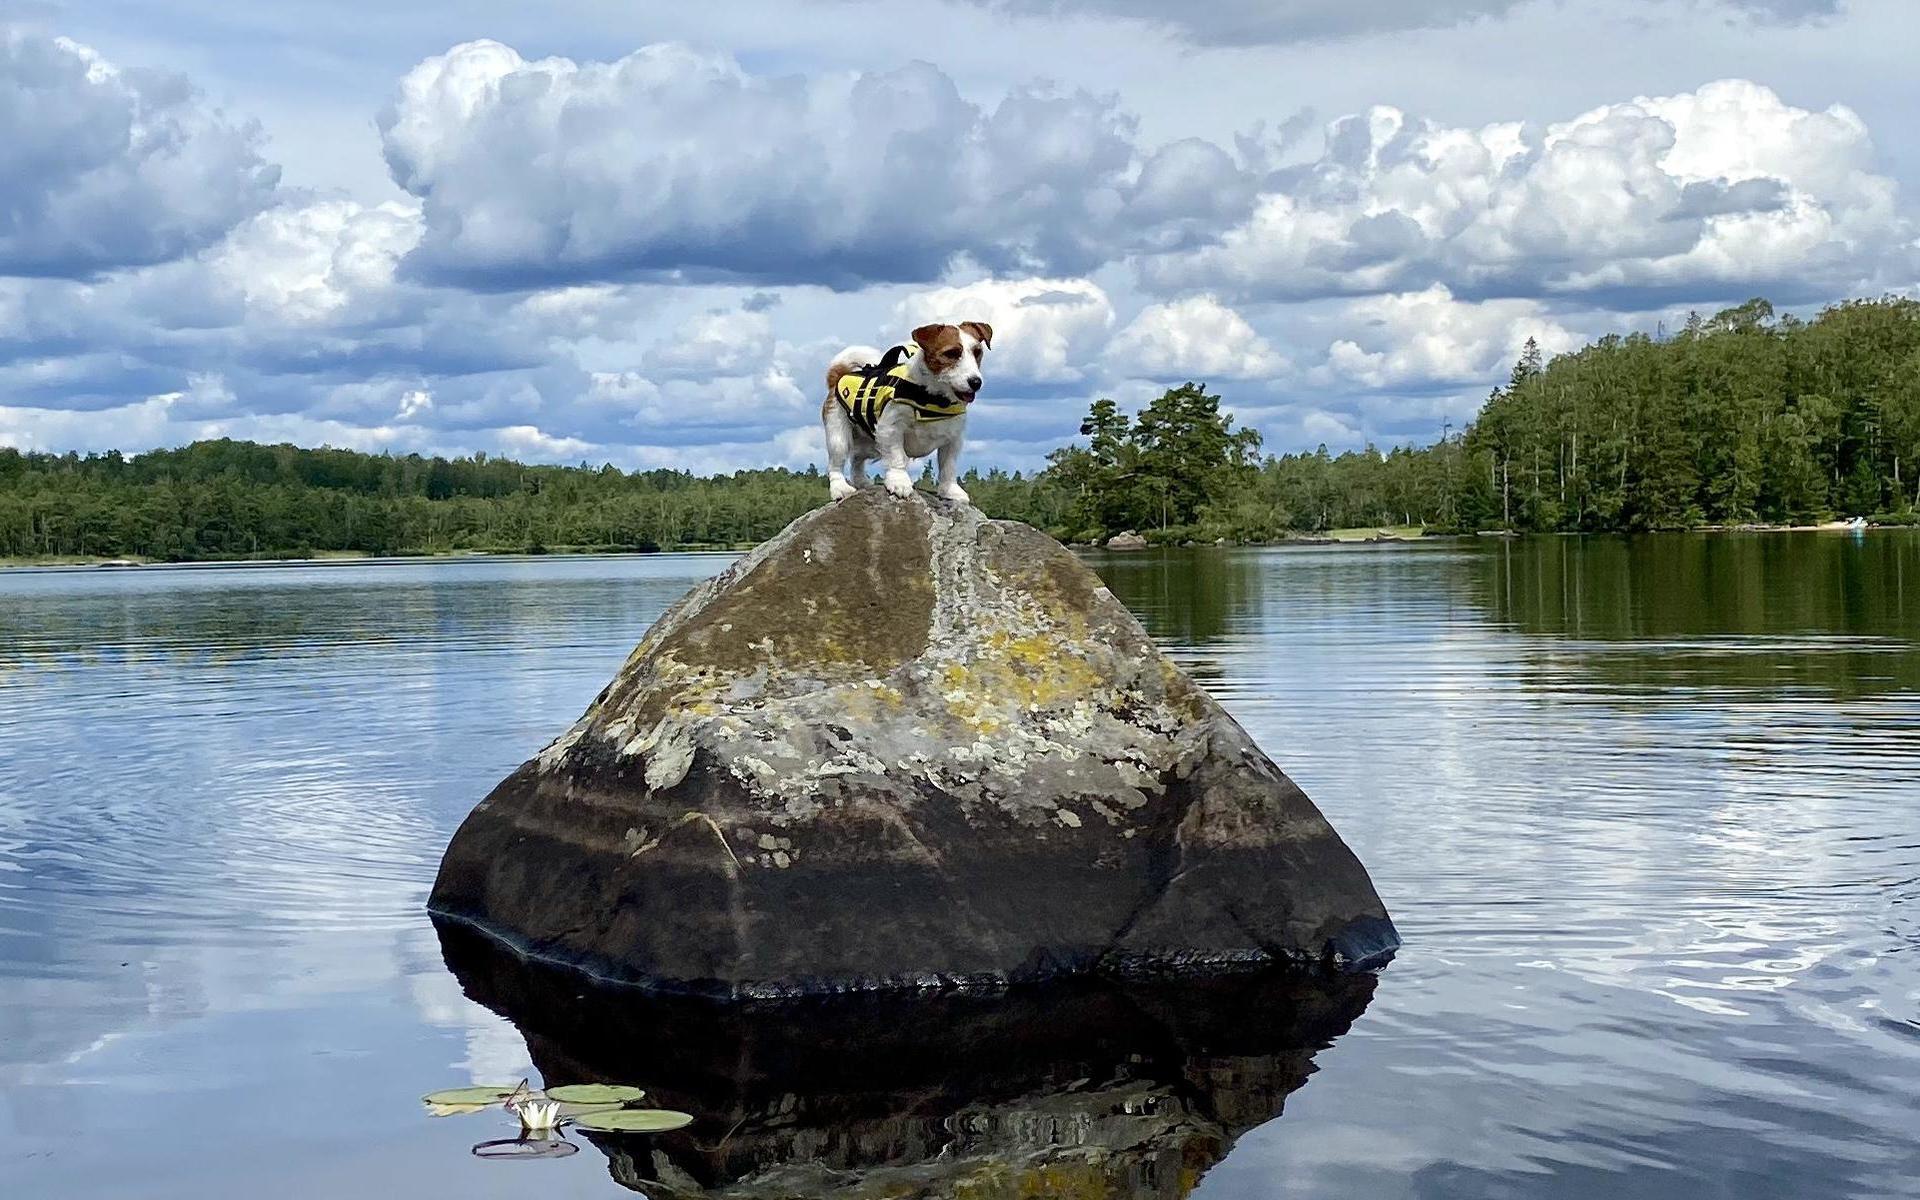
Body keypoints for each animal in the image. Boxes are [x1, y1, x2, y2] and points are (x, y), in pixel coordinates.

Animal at [817, 320, 990, 503]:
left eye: (978, 352)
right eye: (951, 353)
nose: (976, 382)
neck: (933, 396)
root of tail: (838, 377)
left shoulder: (953, 439)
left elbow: (948, 466)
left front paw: (950, 490)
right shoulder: (891, 428)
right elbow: (896, 457)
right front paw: (899, 481)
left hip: (870, 445)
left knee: (857, 459)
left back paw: (862, 481)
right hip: (839, 437)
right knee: (836, 464)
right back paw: (840, 488)